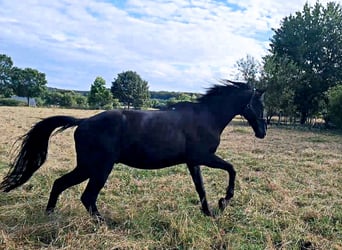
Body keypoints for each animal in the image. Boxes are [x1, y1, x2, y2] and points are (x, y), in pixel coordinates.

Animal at [0, 80, 268, 219]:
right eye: (260, 103)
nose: (262, 131)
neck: (206, 117)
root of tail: (83, 122)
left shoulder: (194, 162)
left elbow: (201, 187)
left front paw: (211, 211)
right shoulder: (203, 156)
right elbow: (231, 169)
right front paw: (225, 200)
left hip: (87, 167)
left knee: (60, 184)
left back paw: (50, 216)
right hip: (98, 167)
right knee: (86, 196)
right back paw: (104, 223)